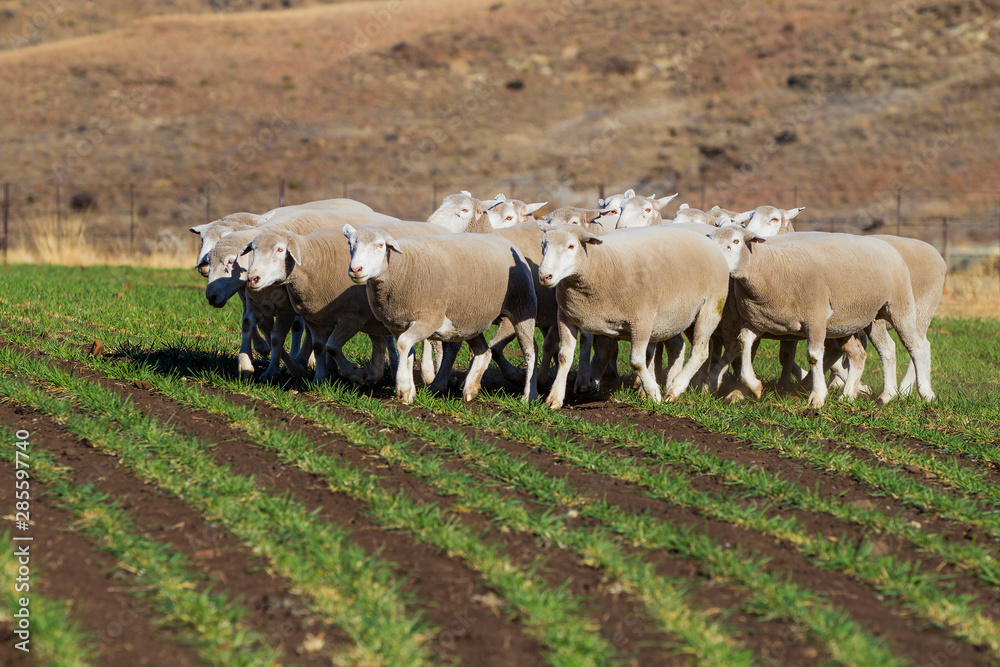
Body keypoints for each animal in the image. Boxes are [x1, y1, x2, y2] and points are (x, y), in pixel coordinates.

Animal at [244, 220, 450, 385]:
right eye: (253, 250)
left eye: (280, 249)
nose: (252, 279)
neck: (317, 261)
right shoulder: (314, 318)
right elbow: (319, 347)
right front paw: (320, 379)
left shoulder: (353, 316)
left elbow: (332, 347)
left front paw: (354, 373)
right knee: (381, 341)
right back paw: (377, 375)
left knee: (436, 343)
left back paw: (433, 377)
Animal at [343, 225, 538, 404]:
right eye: (350, 244)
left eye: (380, 245)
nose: (356, 269)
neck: (403, 266)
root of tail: (505, 240)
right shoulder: (397, 325)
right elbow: (407, 351)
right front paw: (410, 392)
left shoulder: (429, 319)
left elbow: (403, 345)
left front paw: (403, 388)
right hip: (470, 319)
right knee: (484, 350)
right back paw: (470, 389)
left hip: (523, 307)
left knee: (529, 352)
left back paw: (529, 396)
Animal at [537, 224, 730, 409]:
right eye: (543, 245)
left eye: (571, 246)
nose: (544, 277)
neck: (600, 263)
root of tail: (708, 239)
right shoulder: (565, 317)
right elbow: (564, 357)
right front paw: (554, 398)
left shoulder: (641, 320)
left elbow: (636, 361)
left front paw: (653, 393)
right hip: (675, 316)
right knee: (678, 346)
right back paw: (670, 382)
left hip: (711, 307)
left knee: (700, 352)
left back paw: (675, 388)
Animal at [708, 226, 934, 408]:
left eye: (736, 241)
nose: (716, 261)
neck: (772, 269)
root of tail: (885, 244)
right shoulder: (759, 322)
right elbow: (743, 343)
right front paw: (754, 386)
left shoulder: (814, 320)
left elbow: (814, 357)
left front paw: (817, 397)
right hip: (857, 321)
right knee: (876, 351)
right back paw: (872, 395)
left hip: (899, 306)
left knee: (917, 347)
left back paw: (924, 393)